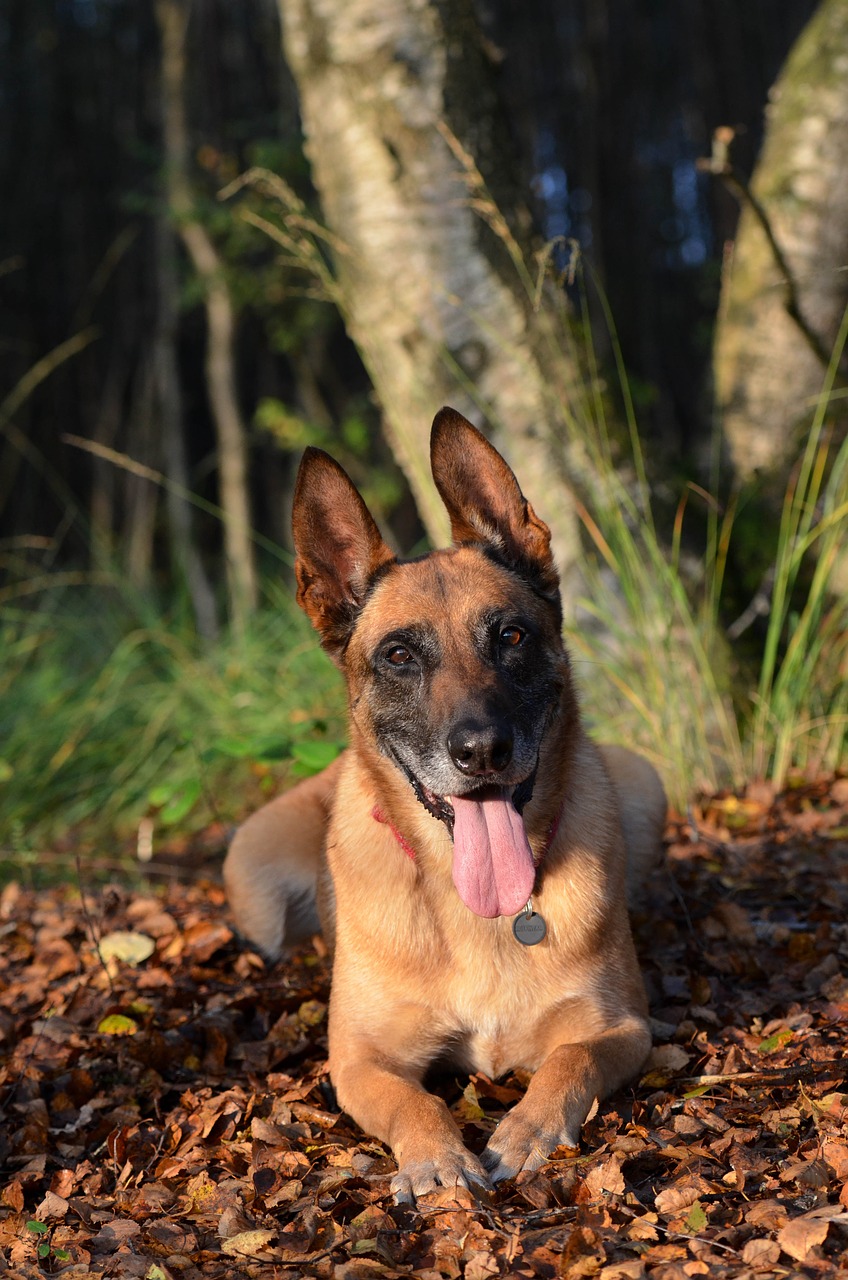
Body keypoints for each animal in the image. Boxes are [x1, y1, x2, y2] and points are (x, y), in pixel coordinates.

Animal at [225, 407, 671, 1198]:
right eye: (400, 655)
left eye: (511, 635)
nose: (482, 751)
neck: (475, 912)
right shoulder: (361, 1060)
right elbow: (415, 1100)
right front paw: (437, 1158)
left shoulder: (621, 1029)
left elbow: (569, 1060)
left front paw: (526, 1132)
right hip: (254, 875)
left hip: (645, 782)